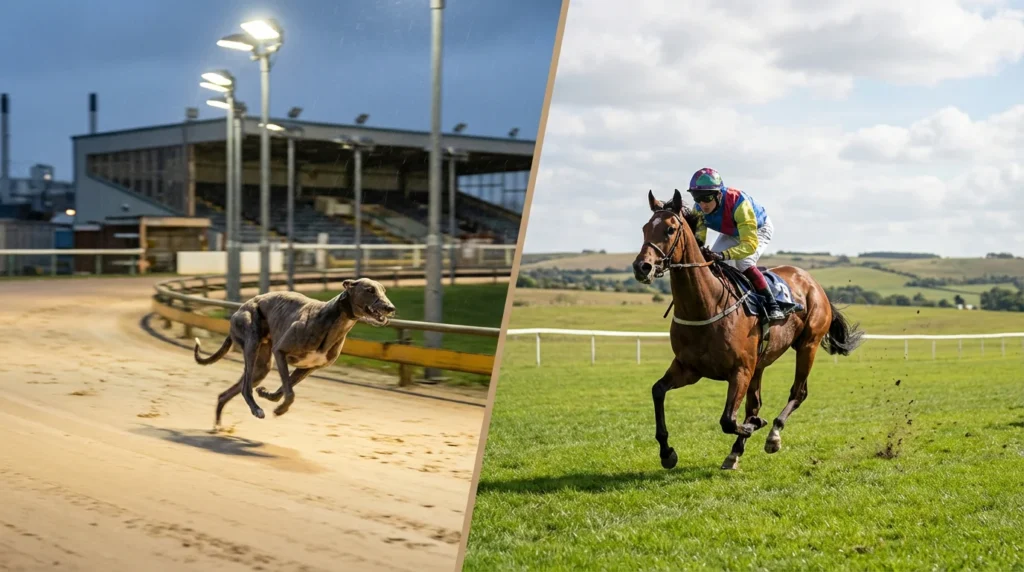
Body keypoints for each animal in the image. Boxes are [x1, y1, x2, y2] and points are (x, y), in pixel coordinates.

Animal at [632, 189, 864, 470]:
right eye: (645, 228)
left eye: (670, 229)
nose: (642, 267)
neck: (706, 305)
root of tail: (813, 282)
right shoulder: (689, 368)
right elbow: (658, 391)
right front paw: (667, 452)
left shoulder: (740, 370)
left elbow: (728, 420)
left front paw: (757, 426)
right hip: (760, 363)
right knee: (755, 403)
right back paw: (735, 452)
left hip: (808, 345)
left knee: (798, 392)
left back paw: (773, 434)